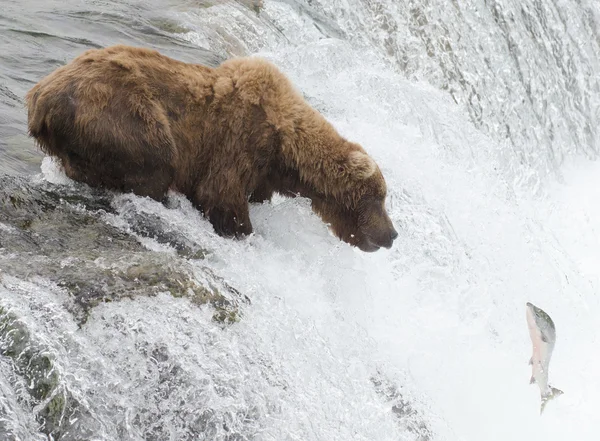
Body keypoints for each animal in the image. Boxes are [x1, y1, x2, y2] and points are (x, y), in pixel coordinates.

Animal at [25, 45, 398, 251]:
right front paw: (242, 232)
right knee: (155, 163)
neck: (284, 151)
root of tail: (40, 96)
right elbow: (221, 197)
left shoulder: (262, 173)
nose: (392, 234)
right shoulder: (240, 142)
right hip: (121, 116)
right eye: (378, 198)